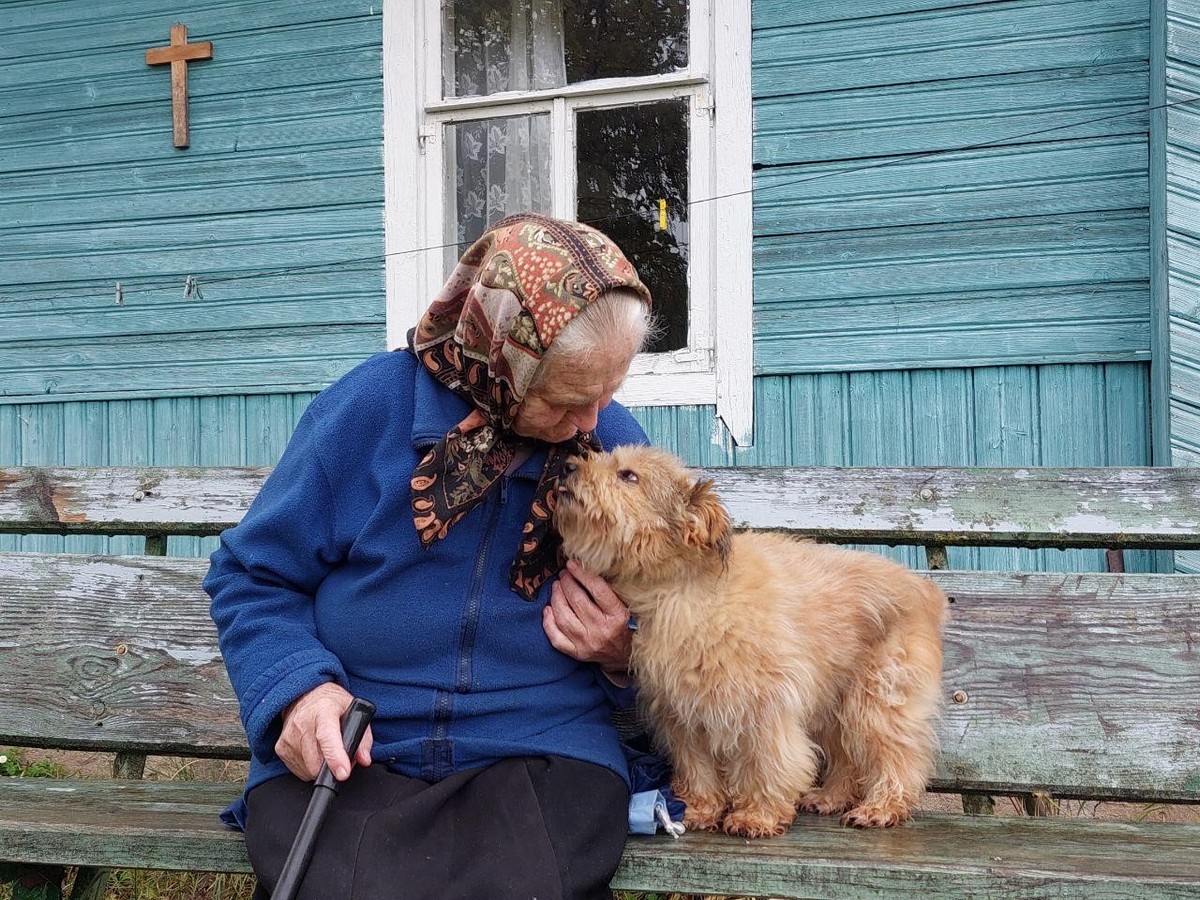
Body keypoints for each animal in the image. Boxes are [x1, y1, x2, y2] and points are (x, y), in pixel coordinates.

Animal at [552, 448, 945, 840]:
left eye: (628, 476)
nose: (567, 467)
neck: (678, 589)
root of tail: (923, 587)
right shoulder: (683, 711)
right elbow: (697, 766)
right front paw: (700, 808)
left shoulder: (766, 707)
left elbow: (768, 764)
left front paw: (758, 815)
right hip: (832, 704)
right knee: (845, 756)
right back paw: (831, 798)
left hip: (876, 702)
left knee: (899, 755)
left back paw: (882, 807)